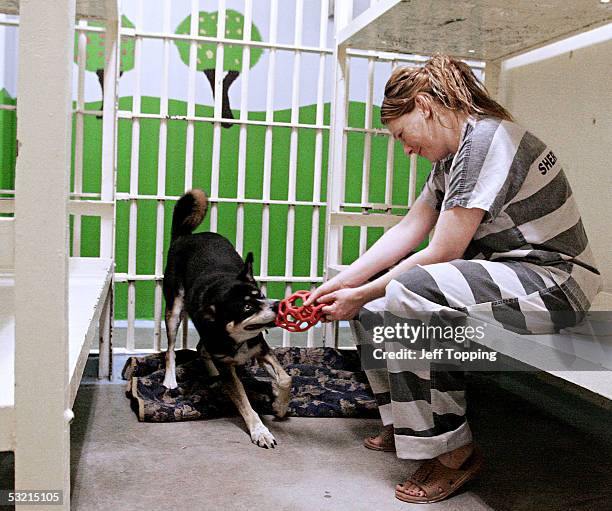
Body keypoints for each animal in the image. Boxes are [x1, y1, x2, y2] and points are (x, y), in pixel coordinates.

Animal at [163, 189, 292, 448]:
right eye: (246, 307)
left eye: (260, 295)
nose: (277, 305)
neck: (236, 339)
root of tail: (184, 237)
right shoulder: (228, 366)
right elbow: (244, 402)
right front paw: (260, 431)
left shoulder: (261, 348)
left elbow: (285, 379)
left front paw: (279, 406)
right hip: (174, 308)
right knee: (171, 349)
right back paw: (171, 380)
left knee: (201, 347)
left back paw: (212, 374)